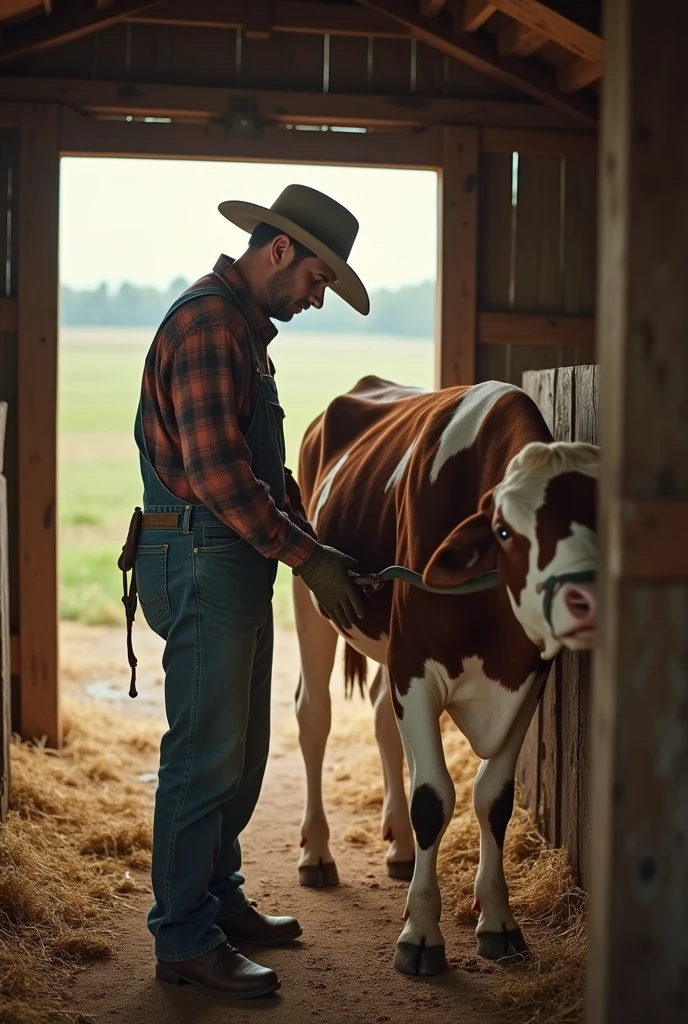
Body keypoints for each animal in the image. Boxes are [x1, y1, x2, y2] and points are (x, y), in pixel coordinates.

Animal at [290, 376, 597, 974]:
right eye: (505, 531)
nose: (584, 597)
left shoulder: (527, 679)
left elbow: (492, 799)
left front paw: (498, 922)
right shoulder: (415, 667)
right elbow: (433, 797)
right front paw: (420, 934)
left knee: (383, 718)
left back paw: (400, 848)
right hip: (309, 595)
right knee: (314, 716)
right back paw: (316, 850)